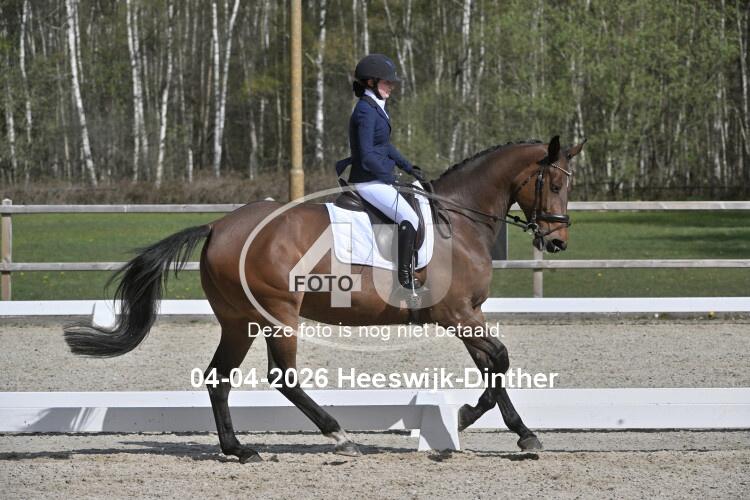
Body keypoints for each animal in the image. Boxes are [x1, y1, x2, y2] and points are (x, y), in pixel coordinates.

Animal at [64, 135, 585, 463]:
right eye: (557, 183)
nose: (558, 241)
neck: (459, 219)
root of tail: (217, 226)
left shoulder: (467, 313)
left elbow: (492, 364)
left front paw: (509, 430)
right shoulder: (455, 312)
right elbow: (500, 359)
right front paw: (471, 419)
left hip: (238, 320)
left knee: (219, 378)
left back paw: (239, 450)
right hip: (278, 315)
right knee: (283, 375)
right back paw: (338, 435)